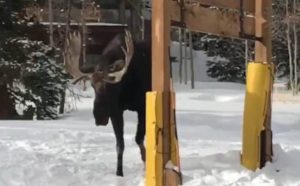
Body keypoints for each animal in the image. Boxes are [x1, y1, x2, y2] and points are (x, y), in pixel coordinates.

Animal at [64, 28, 151, 176]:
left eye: (111, 84)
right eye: (92, 85)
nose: (100, 117)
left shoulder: (142, 107)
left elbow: (138, 138)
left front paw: (146, 162)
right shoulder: (116, 112)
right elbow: (120, 145)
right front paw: (119, 173)